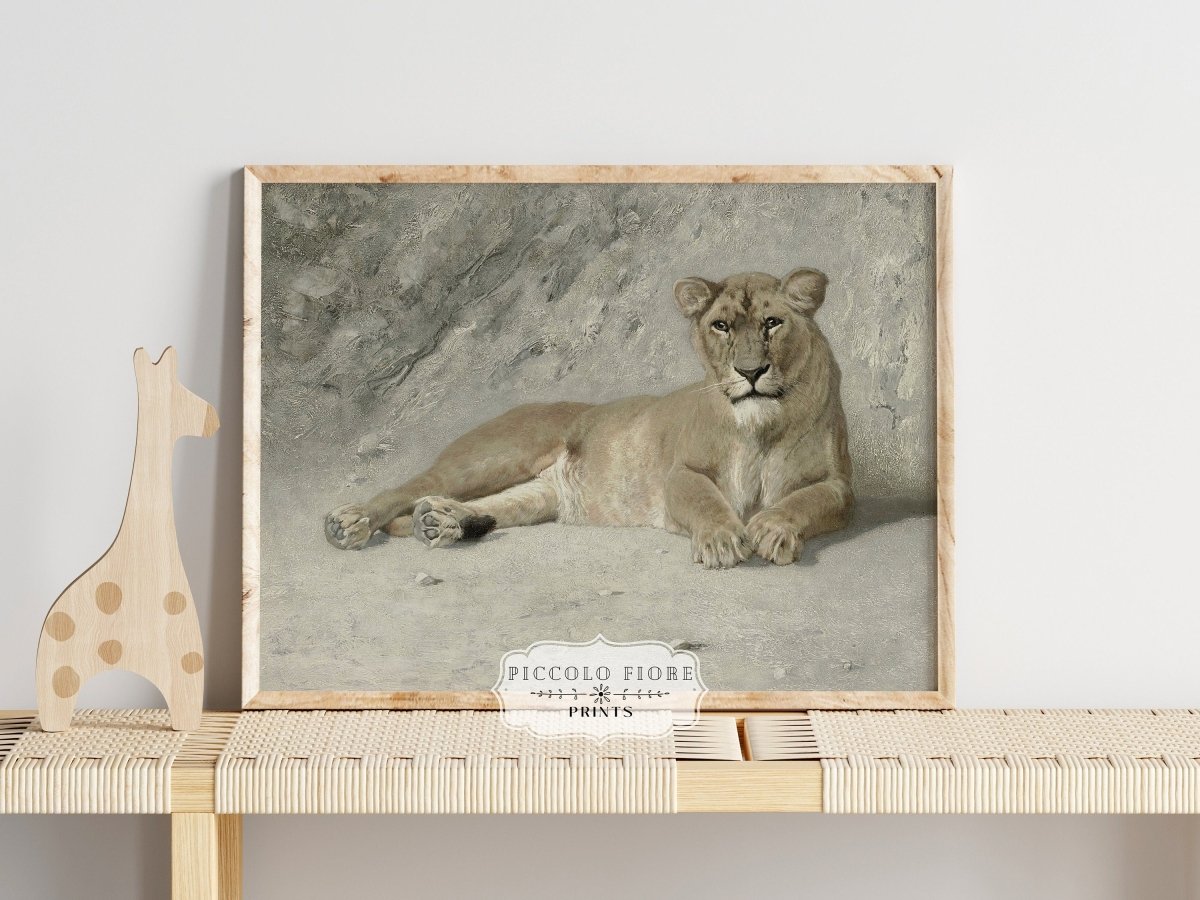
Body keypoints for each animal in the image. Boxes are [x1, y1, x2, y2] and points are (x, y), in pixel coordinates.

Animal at [324, 268, 853, 568]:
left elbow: (804, 501)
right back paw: (350, 523)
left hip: (539, 495)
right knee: (412, 486)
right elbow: (706, 499)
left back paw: (442, 523)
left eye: (772, 323)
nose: (750, 371)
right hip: (491, 457)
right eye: (721, 326)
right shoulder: (680, 473)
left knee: (493, 505)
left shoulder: (839, 486)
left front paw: (773, 528)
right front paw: (723, 540)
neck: (762, 426)